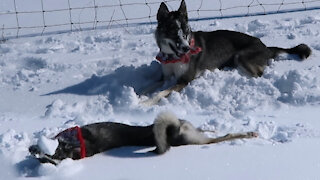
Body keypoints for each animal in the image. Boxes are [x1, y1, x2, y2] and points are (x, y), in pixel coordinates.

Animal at [141, 0, 312, 105]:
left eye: (186, 32)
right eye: (173, 32)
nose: (186, 48)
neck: (173, 58)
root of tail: (265, 46)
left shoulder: (185, 80)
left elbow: (160, 93)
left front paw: (145, 103)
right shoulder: (164, 76)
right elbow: (148, 86)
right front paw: (137, 97)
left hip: (241, 56)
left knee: (259, 74)